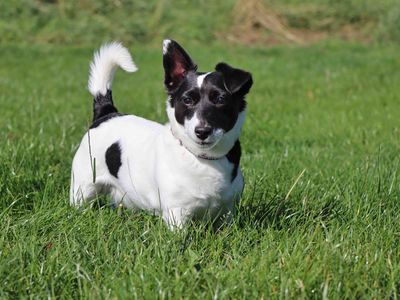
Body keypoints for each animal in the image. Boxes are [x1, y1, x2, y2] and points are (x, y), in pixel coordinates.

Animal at [70, 39, 253, 227]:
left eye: (220, 99)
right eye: (187, 100)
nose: (202, 131)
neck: (203, 158)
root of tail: (107, 112)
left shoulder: (227, 212)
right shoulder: (176, 213)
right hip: (83, 186)